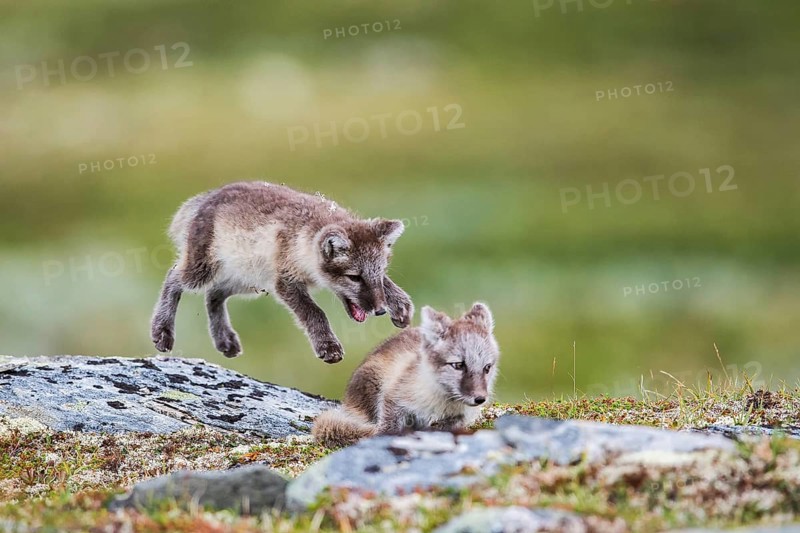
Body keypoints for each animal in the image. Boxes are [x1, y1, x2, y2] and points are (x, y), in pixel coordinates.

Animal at [150, 181, 414, 363]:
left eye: (380, 272)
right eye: (354, 277)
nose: (380, 311)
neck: (305, 233)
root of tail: (205, 198)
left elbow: (389, 286)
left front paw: (401, 306)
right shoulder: (285, 281)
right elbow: (315, 312)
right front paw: (328, 346)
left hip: (248, 281)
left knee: (214, 294)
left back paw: (225, 339)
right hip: (203, 270)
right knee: (174, 276)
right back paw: (162, 331)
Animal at [312, 302, 499, 448]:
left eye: (487, 367)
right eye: (458, 365)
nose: (480, 399)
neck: (442, 402)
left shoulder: (461, 417)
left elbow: (448, 425)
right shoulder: (393, 396)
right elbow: (388, 426)